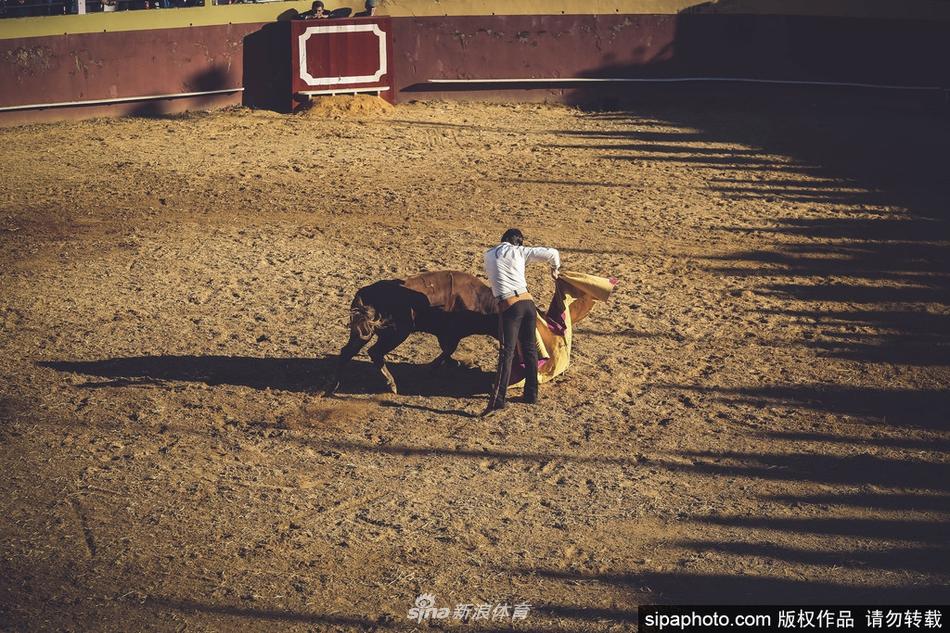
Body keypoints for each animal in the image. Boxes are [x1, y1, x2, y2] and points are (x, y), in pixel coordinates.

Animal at [328, 270, 502, 396]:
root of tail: (364, 293)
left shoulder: (445, 334)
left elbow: (447, 351)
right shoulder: (451, 333)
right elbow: (448, 350)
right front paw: (436, 366)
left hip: (362, 333)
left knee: (347, 351)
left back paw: (333, 385)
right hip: (397, 333)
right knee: (375, 352)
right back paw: (392, 385)